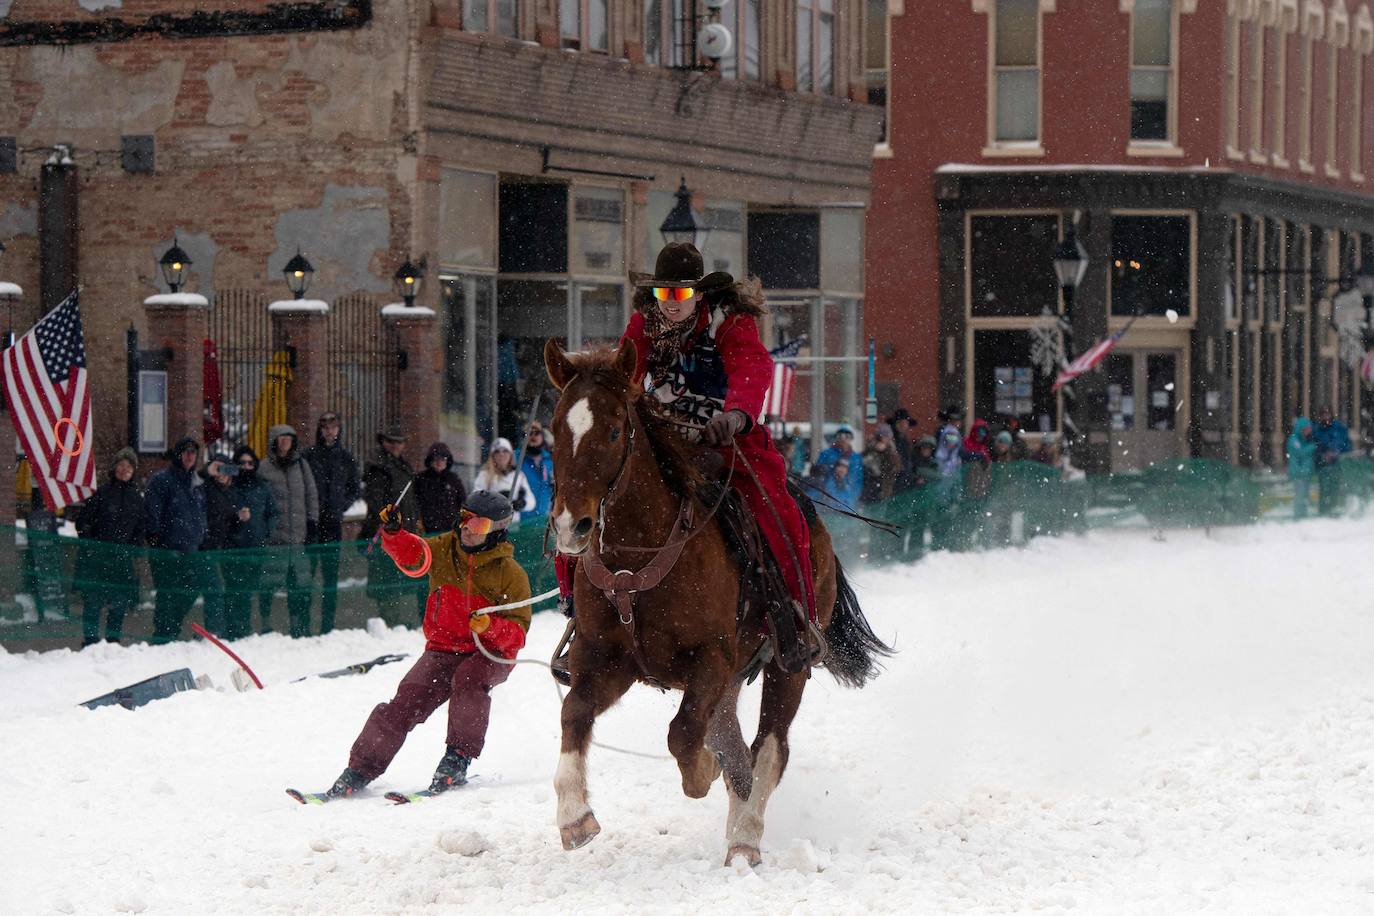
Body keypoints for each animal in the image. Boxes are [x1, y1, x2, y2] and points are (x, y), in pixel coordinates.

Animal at [541, 339, 884, 867]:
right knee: (735, 745)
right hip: (731, 683)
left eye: (615, 429)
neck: (635, 564)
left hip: (785, 666)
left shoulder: (711, 660)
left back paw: (745, 838)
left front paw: (700, 771)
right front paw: (574, 815)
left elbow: (683, 733)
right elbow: (574, 712)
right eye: (557, 428)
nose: (569, 525)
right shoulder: (605, 661)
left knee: (768, 749)